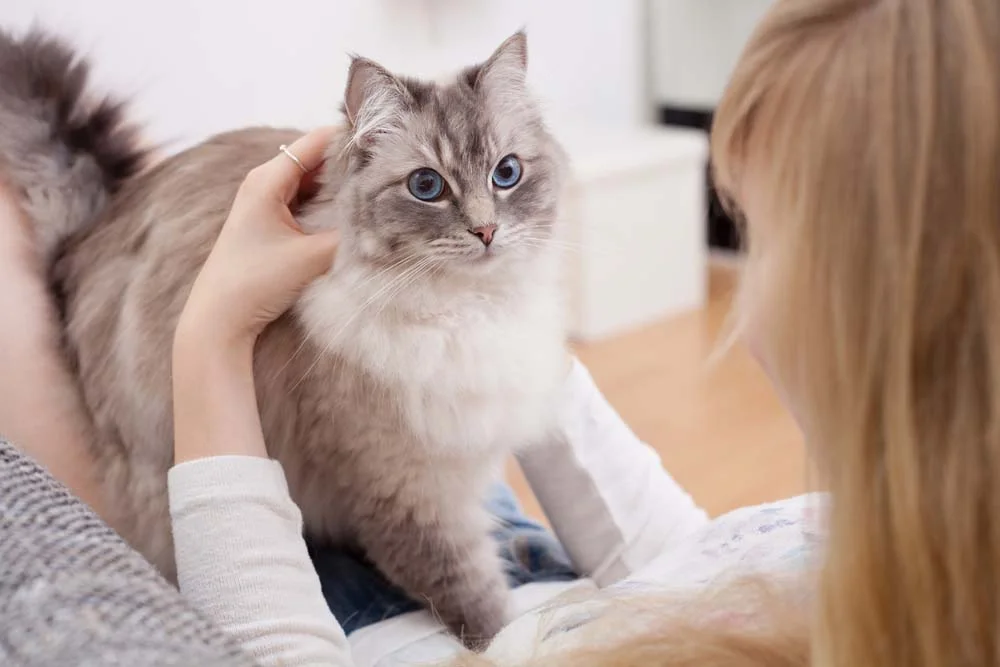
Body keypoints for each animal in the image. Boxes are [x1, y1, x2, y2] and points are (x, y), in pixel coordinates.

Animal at [0, 27, 568, 640]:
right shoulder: (412, 494)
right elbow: (480, 608)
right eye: (426, 186)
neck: (463, 310)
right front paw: (509, 632)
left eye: (506, 174)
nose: (487, 232)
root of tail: (80, 245)